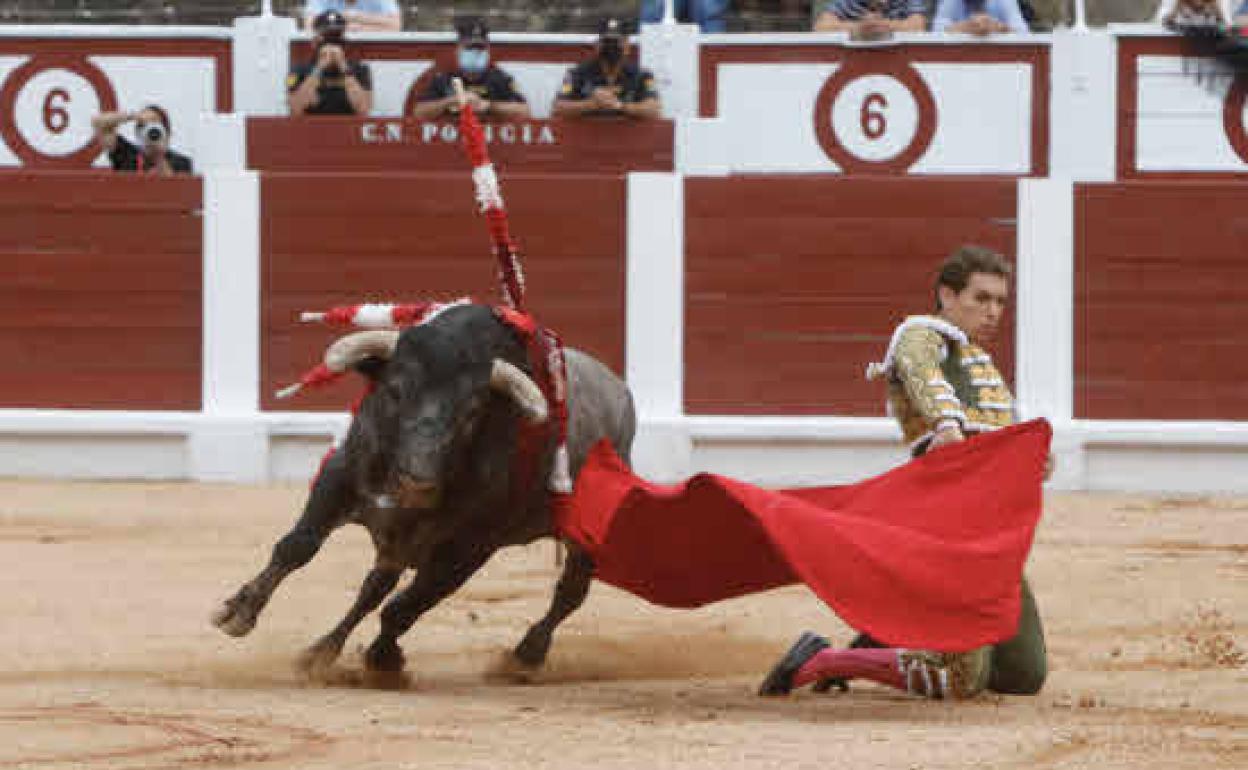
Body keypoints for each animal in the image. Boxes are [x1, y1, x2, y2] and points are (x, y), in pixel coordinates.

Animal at [212, 303, 633, 673]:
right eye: (395, 391)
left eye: (472, 412)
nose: (417, 482)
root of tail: (620, 393)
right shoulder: (339, 476)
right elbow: (297, 546)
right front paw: (238, 612)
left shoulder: (469, 548)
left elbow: (407, 606)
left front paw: (383, 660)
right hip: (397, 539)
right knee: (374, 588)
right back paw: (323, 650)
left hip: (584, 537)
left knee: (571, 591)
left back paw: (525, 657)